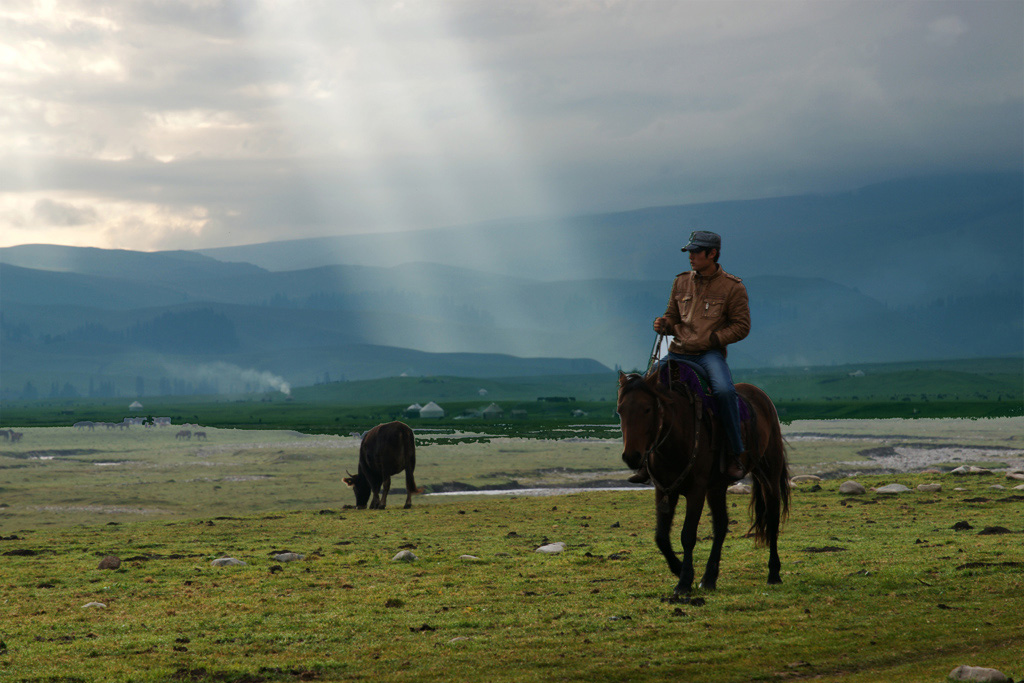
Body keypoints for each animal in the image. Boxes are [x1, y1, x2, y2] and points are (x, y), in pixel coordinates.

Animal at [614, 366, 790, 593]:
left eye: (647, 409)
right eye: (620, 410)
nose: (631, 456)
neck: (676, 440)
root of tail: (761, 396)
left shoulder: (696, 491)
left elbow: (688, 536)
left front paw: (684, 581)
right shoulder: (664, 491)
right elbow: (661, 537)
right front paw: (678, 569)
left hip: (769, 475)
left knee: (772, 517)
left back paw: (774, 573)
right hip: (717, 487)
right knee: (721, 525)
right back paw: (709, 578)